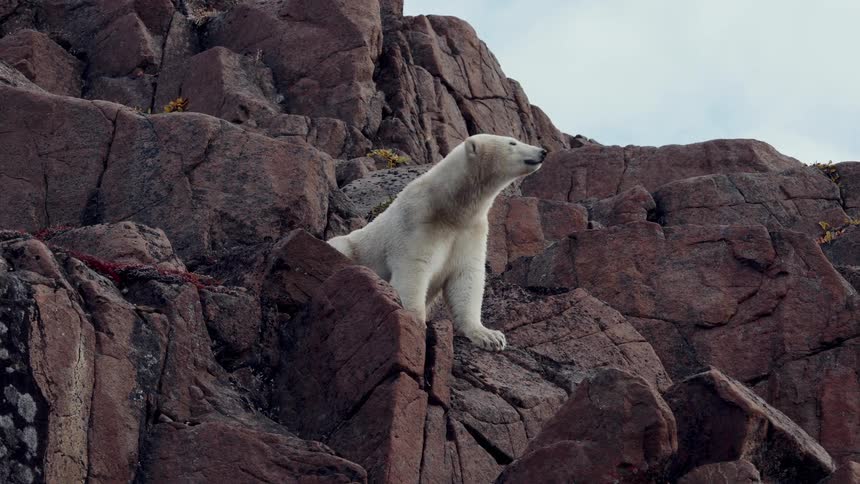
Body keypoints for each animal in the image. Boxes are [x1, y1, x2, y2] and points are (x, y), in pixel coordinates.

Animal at [327, 134, 547, 351]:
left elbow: (465, 276)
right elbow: (413, 270)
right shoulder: (418, 222)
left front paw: (490, 336)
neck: (449, 207)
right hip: (351, 246)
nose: (543, 151)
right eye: (512, 142)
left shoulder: (470, 231)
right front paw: (416, 322)